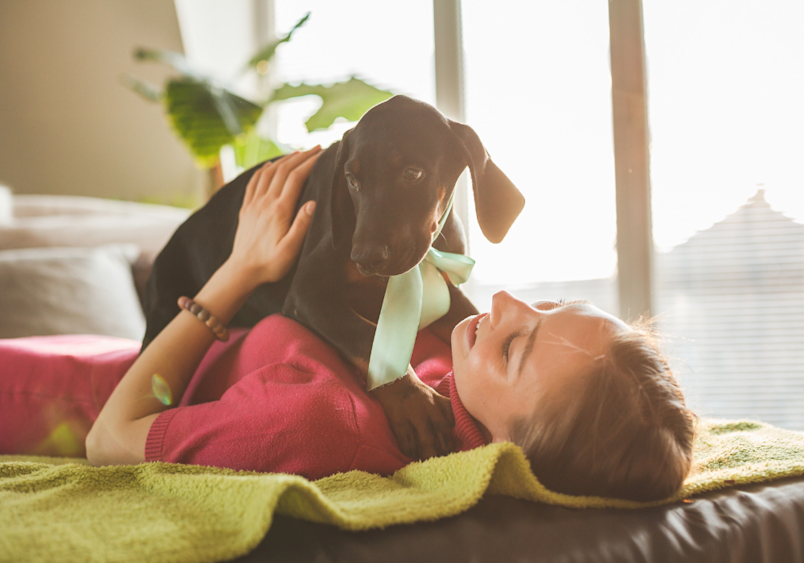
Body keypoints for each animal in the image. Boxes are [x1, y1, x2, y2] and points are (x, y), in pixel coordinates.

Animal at [142, 96, 524, 462]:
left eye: (413, 173)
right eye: (352, 181)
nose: (364, 258)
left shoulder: (445, 286)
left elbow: (471, 321)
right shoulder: (308, 294)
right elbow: (366, 338)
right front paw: (414, 401)